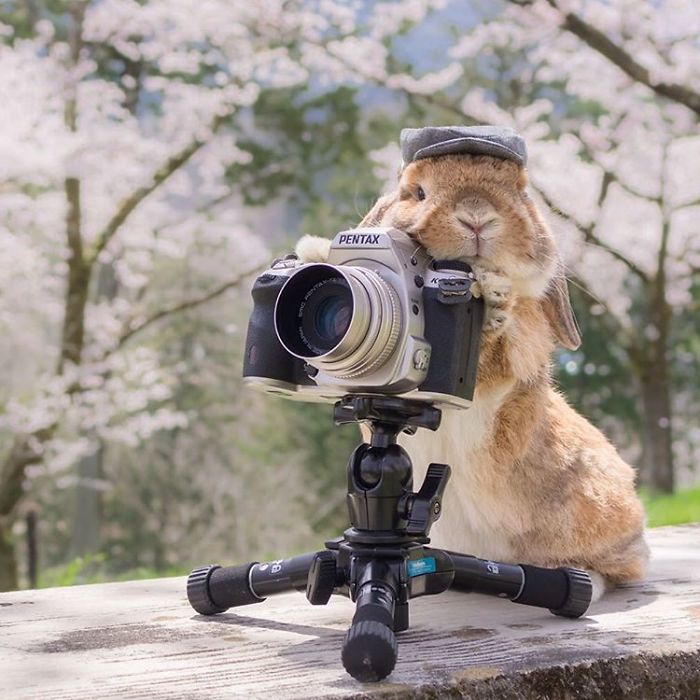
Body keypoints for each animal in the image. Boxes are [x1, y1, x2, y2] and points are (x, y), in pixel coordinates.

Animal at [295, 152, 649, 602]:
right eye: (418, 192)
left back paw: (579, 576)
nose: (477, 218)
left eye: (521, 192)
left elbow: (500, 348)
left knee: (622, 569)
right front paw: (311, 252)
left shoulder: (513, 354)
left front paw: (494, 299)